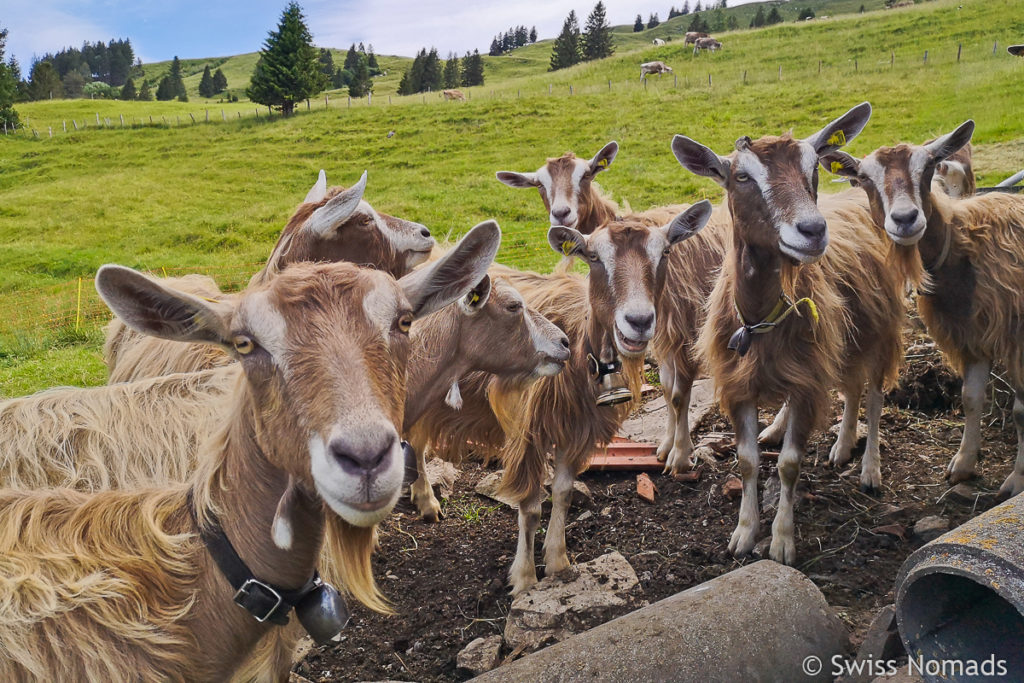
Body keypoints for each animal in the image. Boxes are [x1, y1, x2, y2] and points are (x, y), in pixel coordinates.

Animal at [671, 101, 905, 565]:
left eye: (814, 168)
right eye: (741, 176)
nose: (813, 230)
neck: (760, 320)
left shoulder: (806, 380)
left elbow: (789, 464)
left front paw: (781, 541)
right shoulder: (740, 382)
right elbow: (747, 460)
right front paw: (744, 533)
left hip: (879, 330)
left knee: (872, 395)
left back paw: (869, 469)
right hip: (843, 341)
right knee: (851, 388)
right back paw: (838, 446)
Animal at [827, 122, 1024, 499]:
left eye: (930, 165)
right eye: (864, 178)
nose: (905, 219)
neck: (966, 249)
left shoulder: (1016, 339)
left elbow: (1021, 408)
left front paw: (1017, 480)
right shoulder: (970, 334)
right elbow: (971, 397)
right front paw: (962, 465)